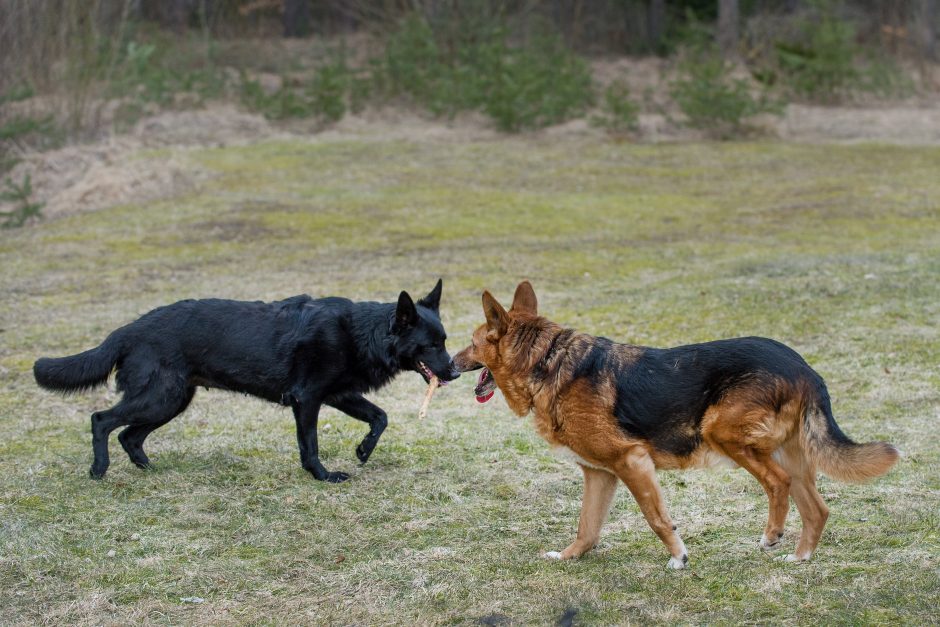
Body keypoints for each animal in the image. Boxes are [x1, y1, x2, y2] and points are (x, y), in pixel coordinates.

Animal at [35, 280, 460, 480]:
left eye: (445, 340)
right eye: (430, 345)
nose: (455, 372)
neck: (362, 333)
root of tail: (127, 330)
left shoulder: (339, 394)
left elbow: (380, 417)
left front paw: (363, 451)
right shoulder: (308, 400)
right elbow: (310, 446)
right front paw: (322, 476)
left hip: (172, 401)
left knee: (129, 435)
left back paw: (149, 469)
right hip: (160, 397)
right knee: (102, 420)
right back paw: (99, 470)